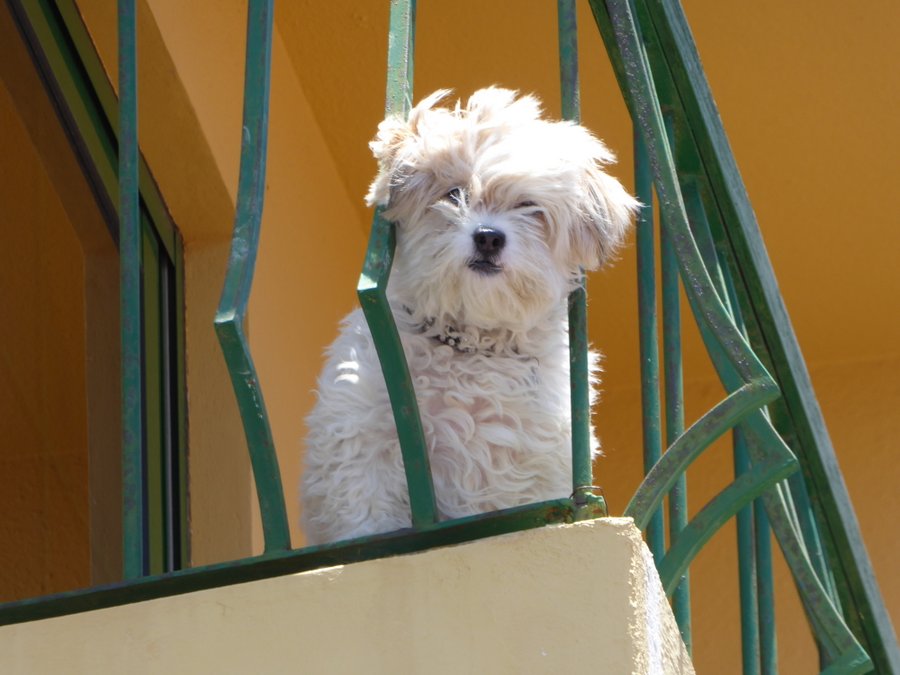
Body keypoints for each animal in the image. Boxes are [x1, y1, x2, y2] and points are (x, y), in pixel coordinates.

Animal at [301, 87, 637, 545]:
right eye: (453, 193)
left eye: (528, 205)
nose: (489, 237)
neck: (468, 341)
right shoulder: (362, 442)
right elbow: (368, 516)